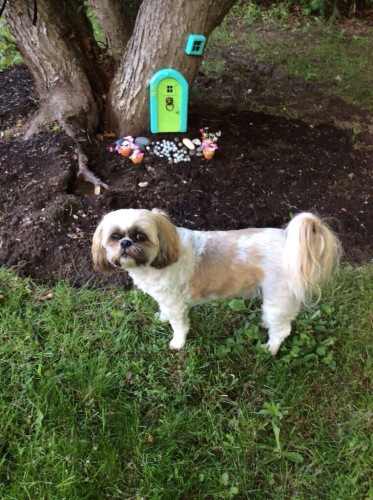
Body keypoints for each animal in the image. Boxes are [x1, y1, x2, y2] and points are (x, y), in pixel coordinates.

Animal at [91, 209, 340, 354]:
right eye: (114, 236)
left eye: (140, 236)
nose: (125, 243)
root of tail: (290, 244)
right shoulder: (164, 298)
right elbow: (164, 312)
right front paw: (161, 318)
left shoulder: (176, 303)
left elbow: (179, 325)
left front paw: (177, 343)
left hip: (278, 299)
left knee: (282, 330)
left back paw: (269, 349)